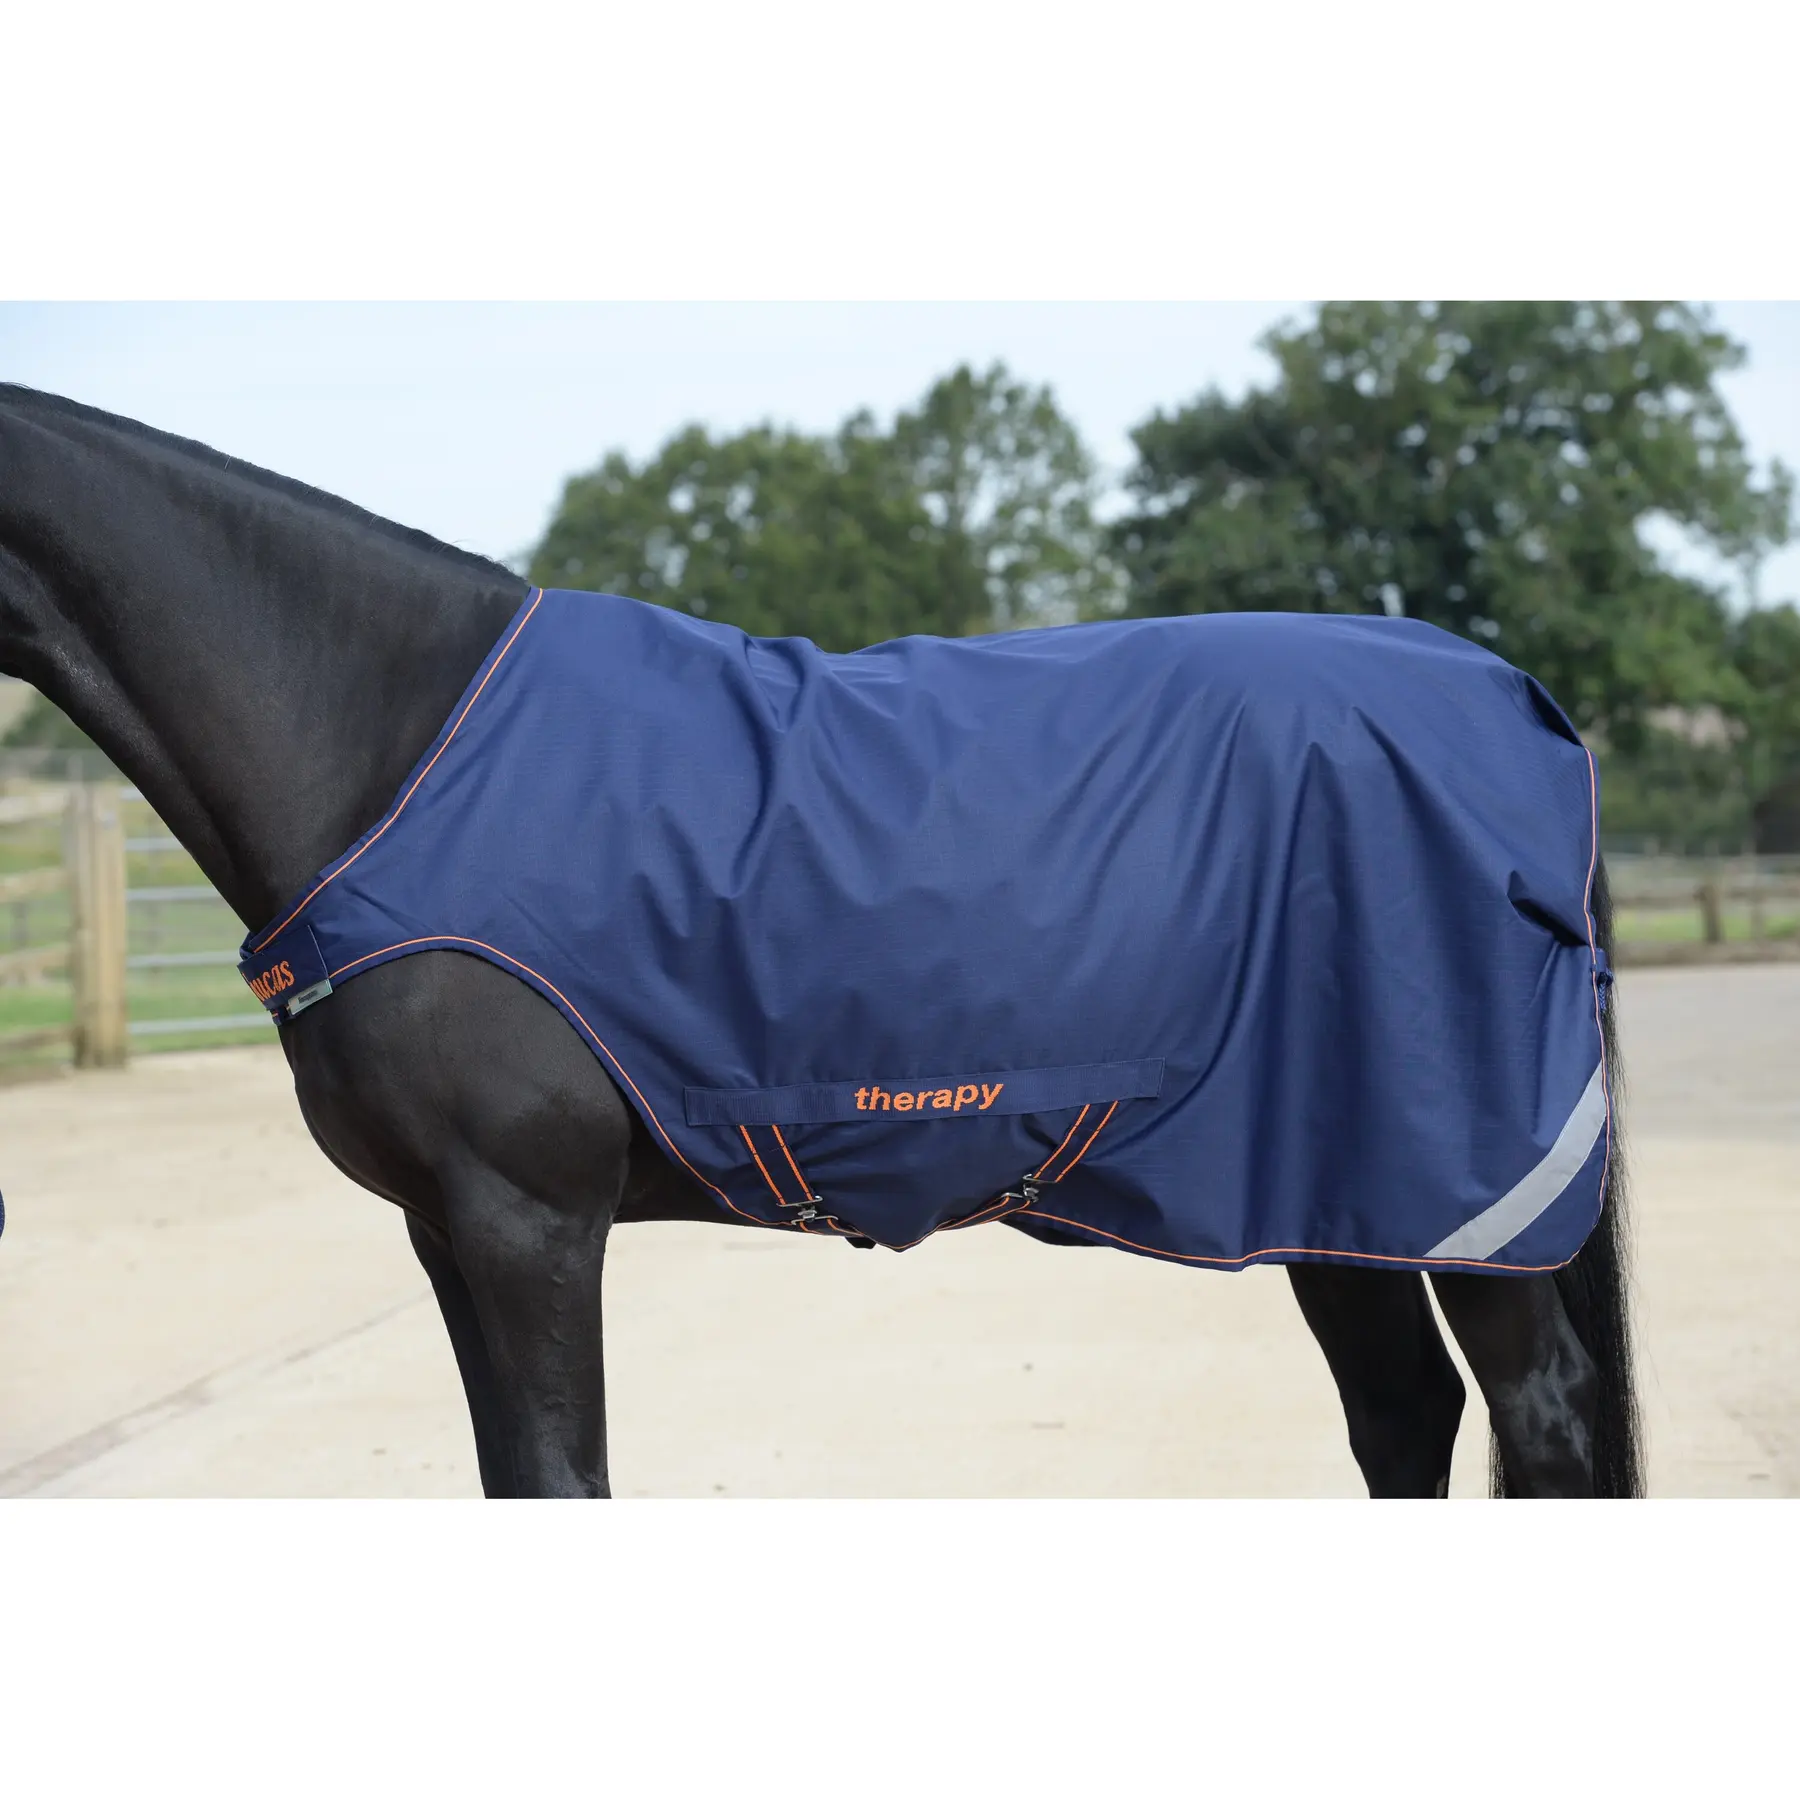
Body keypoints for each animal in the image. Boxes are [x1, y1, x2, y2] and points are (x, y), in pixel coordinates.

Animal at [0, 383, 1640, 1498]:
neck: (394, 751)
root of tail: (1517, 703)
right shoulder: (443, 1229)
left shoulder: (526, 1220)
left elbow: (557, 1483)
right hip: (1328, 1188)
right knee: (1402, 1415)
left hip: (1463, 1195)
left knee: (1542, 1418)